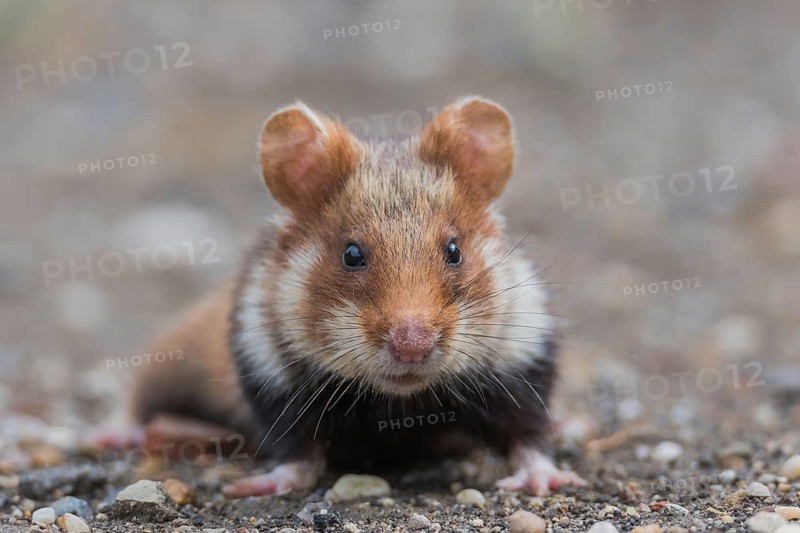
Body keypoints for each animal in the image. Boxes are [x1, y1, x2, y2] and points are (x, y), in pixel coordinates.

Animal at [131, 96, 585, 497]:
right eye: (351, 254)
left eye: (454, 250)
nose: (412, 347)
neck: (402, 403)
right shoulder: (272, 374)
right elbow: (297, 454)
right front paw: (251, 488)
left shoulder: (522, 359)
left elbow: (528, 436)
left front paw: (550, 480)